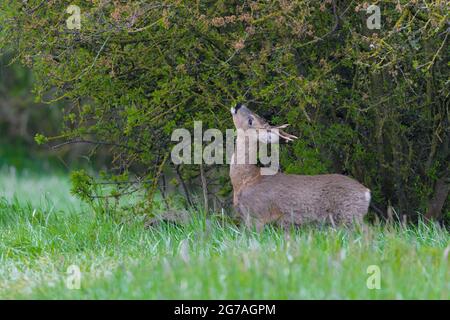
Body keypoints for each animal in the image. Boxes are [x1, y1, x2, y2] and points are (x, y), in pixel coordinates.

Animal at [230, 104, 370, 229]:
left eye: (251, 120)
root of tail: (366, 192)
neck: (247, 179)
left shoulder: (256, 214)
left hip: (349, 214)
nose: (238, 105)